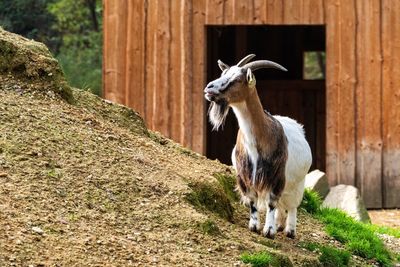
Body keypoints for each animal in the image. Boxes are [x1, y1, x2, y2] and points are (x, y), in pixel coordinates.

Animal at [203, 54, 312, 239]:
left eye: (236, 79)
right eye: (223, 73)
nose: (209, 88)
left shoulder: (276, 176)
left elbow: (271, 202)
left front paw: (269, 230)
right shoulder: (245, 176)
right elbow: (253, 200)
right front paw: (254, 226)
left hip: (297, 182)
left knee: (292, 205)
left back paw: (290, 230)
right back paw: (279, 224)